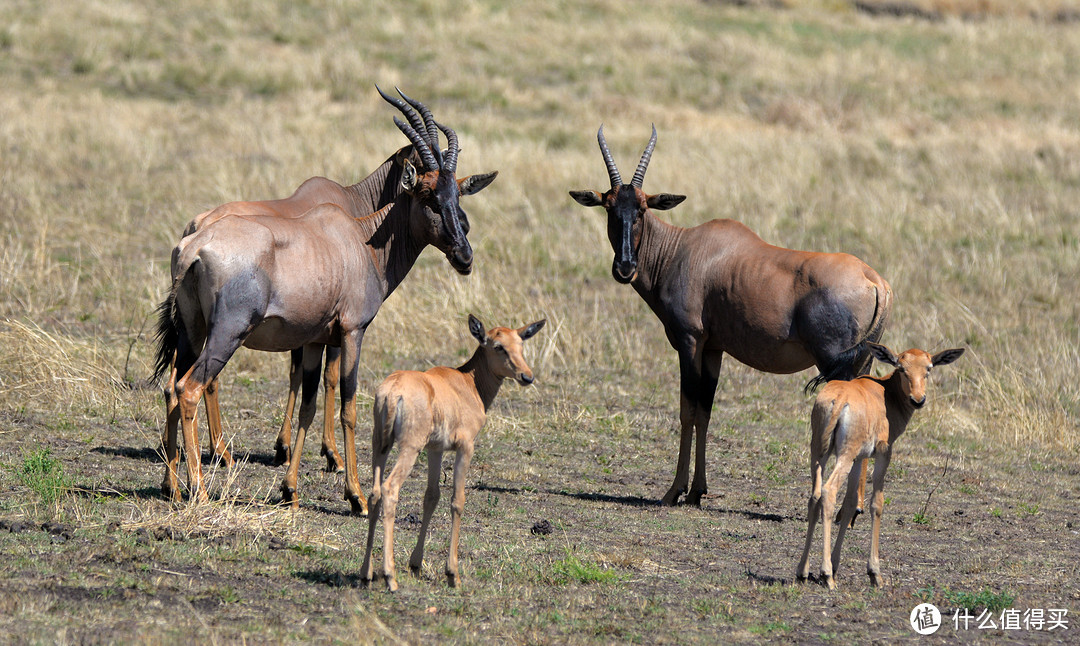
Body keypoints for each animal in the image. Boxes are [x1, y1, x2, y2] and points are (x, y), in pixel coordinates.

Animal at [152, 87, 496, 512]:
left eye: (456, 192)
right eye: (428, 195)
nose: (465, 256)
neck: (358, 238)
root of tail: (194, 243)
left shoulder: (315, 338)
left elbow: (309, 404)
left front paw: (290, 489)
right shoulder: (352, 332)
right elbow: (349, 405)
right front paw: (357, 496)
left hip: (191, 332)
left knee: (171, 388)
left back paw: (172, 486)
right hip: (226, 334)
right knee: (191, 389)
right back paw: (199, 488)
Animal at [362, 313, 548, 591]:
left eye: (520, 344)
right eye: (498, 346)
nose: (527, 377)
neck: (466, 382)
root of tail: (393, 391)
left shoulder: (435, 449)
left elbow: (431, 497)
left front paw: (416, 565)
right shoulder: (465, 447)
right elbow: (457, 501)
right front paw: (453, 574)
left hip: (380, 445)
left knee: (374, 492)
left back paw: (366, 572)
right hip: (409, 448)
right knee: (389, 489)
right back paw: (390, 577)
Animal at [570, 128, 889, 512]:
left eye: (643, 208)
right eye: (609, 206)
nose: (625, 267)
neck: (683, 249)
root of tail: (875, 280)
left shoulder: (690, 341)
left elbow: (688, 410)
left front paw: (674, 491)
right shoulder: (713, 348)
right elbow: (705, 412)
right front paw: (697, 491)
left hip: (836, 363)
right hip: (863, 361)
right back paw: (852, 508)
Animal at [794, 343, 963, 591]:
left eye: (928, 368)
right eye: (901, 368)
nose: (918, 399)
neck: (883, 393)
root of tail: (840, 399)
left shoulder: (858, 459)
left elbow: (851, 504)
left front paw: (836, 565)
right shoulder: (883, 453)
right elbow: (876, 504)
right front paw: (875, 573)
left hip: (819, 454)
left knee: (814, 496)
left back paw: (803, 571)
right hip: (843, 456)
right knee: (828, 492)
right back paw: (826, 576)